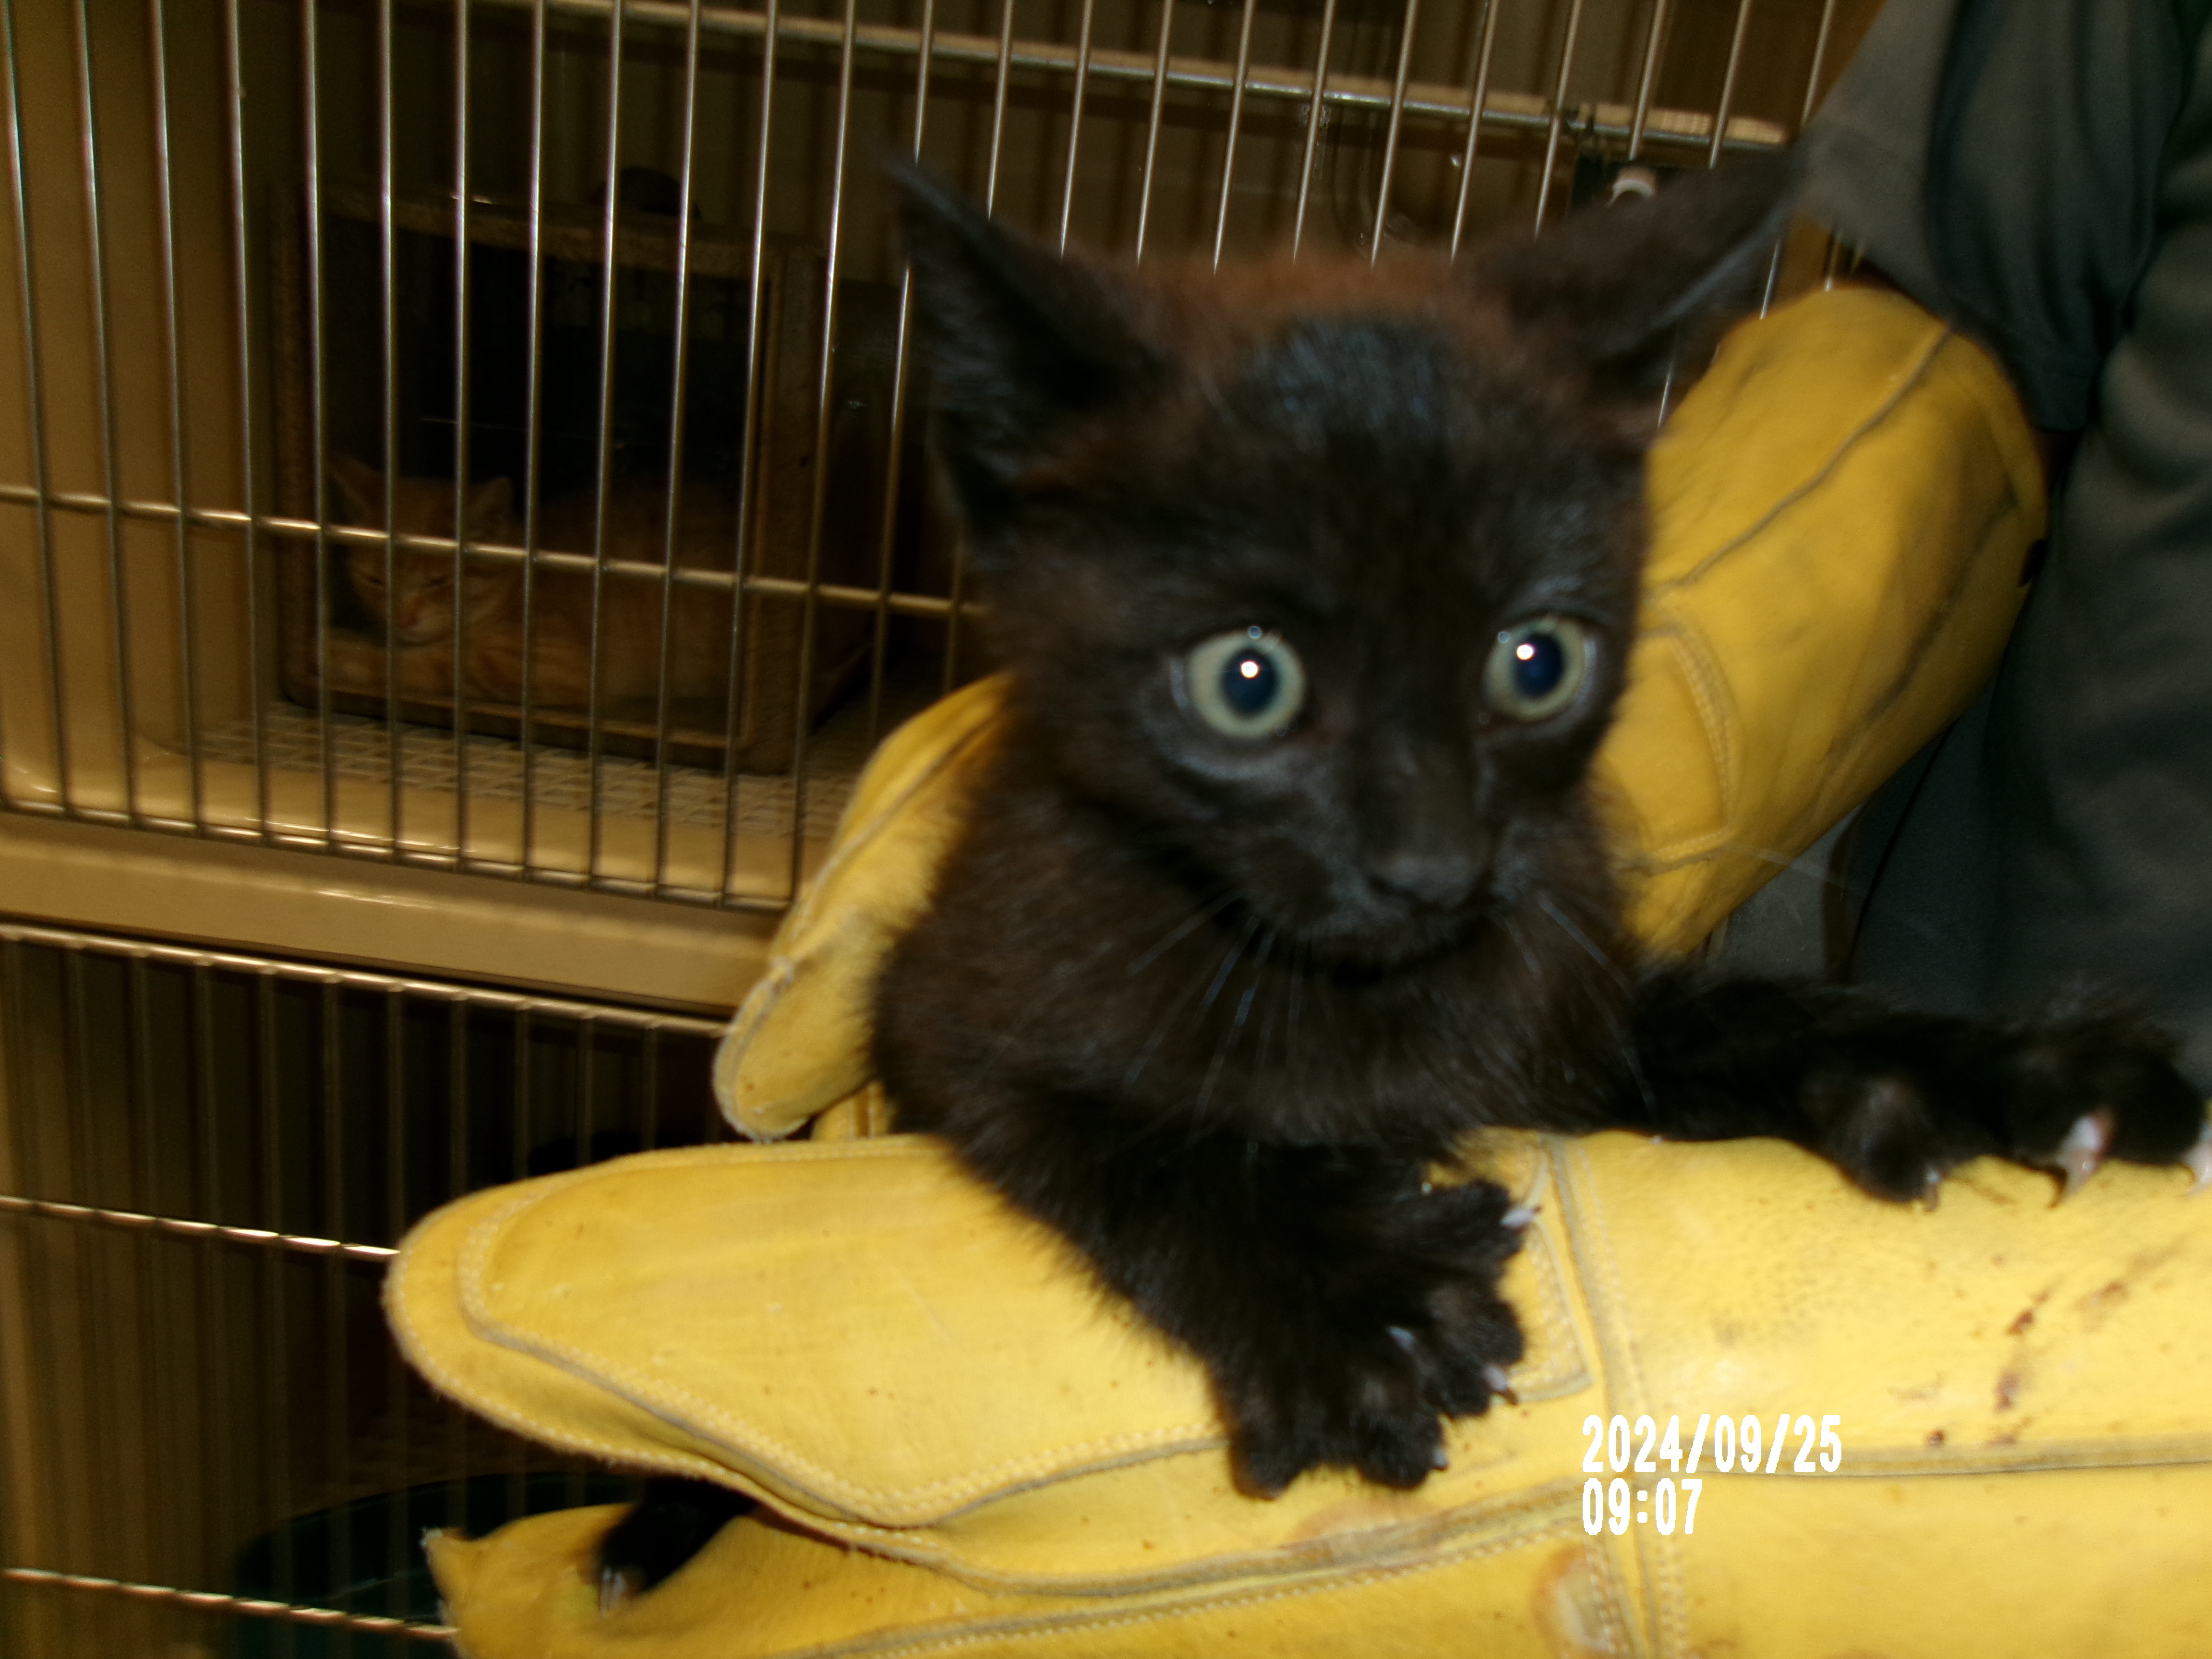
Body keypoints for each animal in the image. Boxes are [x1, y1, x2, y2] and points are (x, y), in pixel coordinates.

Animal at [325, 456, 743, 716]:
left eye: (439, 581)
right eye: (375, 580)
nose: (403, 620)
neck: (515, 588)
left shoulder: (552, 662)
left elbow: (434, 663)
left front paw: (340, 652)